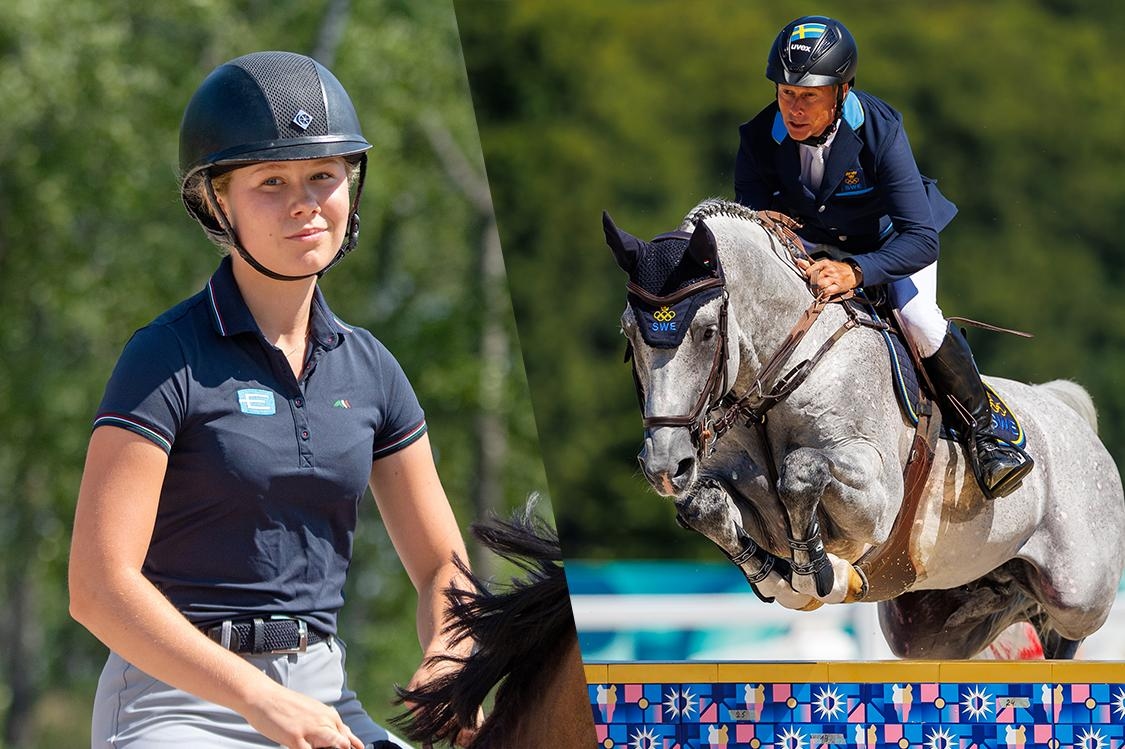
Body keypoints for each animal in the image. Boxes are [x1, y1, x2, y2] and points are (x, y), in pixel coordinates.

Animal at [607, 196, 1125, 652]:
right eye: (629, 334)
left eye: (706, 331)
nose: (664, 466)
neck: (779, 376)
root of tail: (1065, 408)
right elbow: (703, 506)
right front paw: (782, 578)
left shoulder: (877, 496)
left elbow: (802, 470)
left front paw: (819, 574)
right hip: (931, 625)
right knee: (1008, 610)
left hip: (1078, 590)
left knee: (1065, 626)